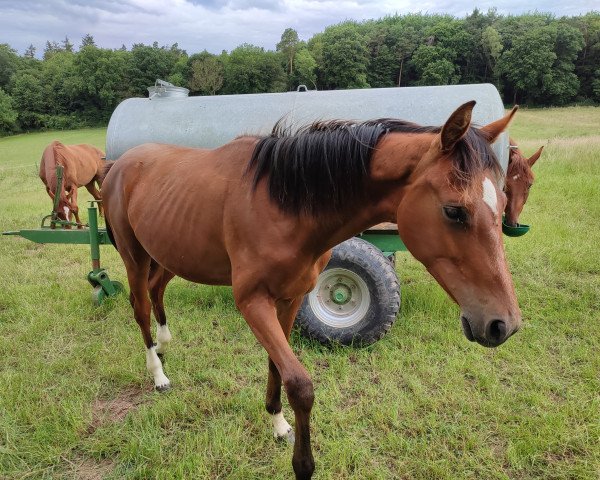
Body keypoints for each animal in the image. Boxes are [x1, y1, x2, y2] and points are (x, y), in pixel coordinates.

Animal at [102, 102, 520, 480]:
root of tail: (119, 164)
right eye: (454, 211)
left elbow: (277, 366)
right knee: (140, 305)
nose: (504, 324)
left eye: (502, 201)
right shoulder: (252, 302)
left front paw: (277, 423)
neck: (281, 203)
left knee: (156, 291)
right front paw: (303, 464)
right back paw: (157, 373)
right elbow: (300, 384)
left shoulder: (289, 299)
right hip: (134, 256)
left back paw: (164, 342)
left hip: (168, 254)